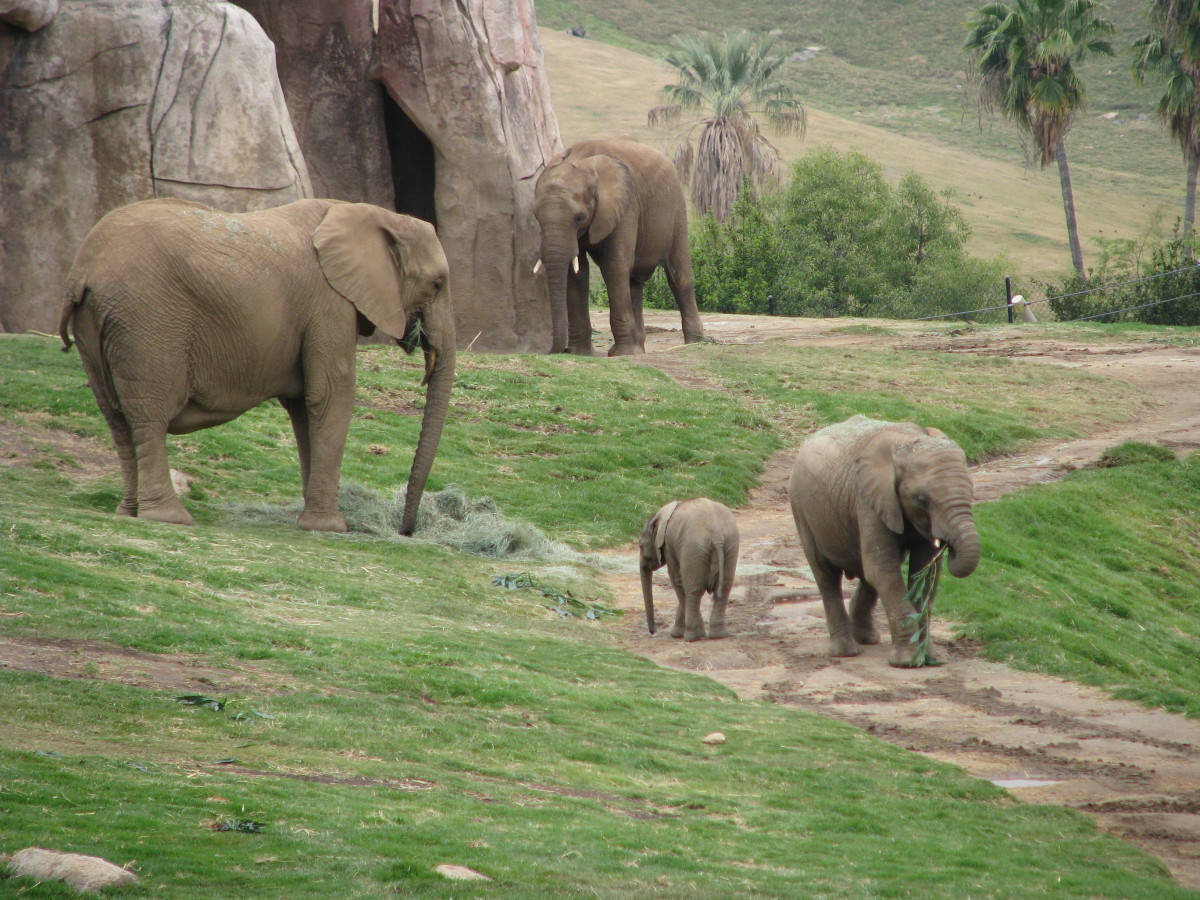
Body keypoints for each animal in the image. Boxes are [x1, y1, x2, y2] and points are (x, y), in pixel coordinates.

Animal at [58, 197, 455, 534]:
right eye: (437, 284)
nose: (405, 531)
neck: (376, 214)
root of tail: (82, 273)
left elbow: (304, 407)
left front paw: (311, 521)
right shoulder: (329, 304)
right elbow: (330, 395)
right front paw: (330, 528)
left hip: (98, 326)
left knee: (116, 418)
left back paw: (129, 512)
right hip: (146, 322)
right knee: (149, 415)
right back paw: (169, 518)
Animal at [533, 138, 706, 356]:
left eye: (579, 217)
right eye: (536, 216)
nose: (558, 351)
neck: (582, 162)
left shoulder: (626, 206)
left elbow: (614, 265)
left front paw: (622, 354)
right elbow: (577, 272)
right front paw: (580, 353)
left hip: (676, 209)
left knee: (679, 277)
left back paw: (695, 342)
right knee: (634, 283)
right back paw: (639, 348)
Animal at [639, 498, 740, 641]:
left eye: (641, 546)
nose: (653, 632)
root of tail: (717, 536)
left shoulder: (669, 544)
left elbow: (677, 581)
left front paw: (676, 635)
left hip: (693, 548)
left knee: (693, 590)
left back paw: (692, 637)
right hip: (731, 544)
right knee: (724, 588)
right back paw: (718, 635)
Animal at [787, 416, 979, 667]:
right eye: (921, 500)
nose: (948, 546)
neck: (907, 442)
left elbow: (924, 575)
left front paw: (930, 658)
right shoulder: (868, 500)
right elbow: (883, 571)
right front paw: (907, 662)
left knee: (869, 573)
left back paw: (867, 638)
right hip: (801, 509)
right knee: (826, 574)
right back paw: (846, 651)